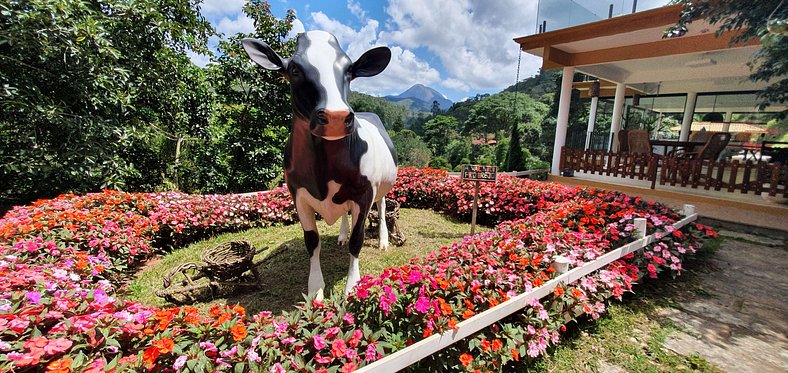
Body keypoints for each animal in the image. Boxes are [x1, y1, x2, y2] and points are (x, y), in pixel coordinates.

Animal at [242, 31, 400, 296]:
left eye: (349, 70)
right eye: (294, 69)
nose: (336, 117)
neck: (323, 172)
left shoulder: (365, 194)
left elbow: (357, 240)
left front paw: (352, 285)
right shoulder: (298, 195)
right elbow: (312, 241)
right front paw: (315, 289)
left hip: (382, 187)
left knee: (382, 207)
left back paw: (383, 240)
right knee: (346, 213)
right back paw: (342, 235)